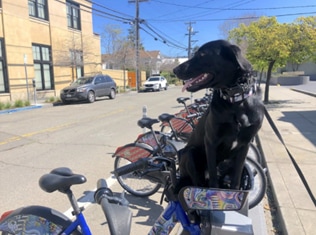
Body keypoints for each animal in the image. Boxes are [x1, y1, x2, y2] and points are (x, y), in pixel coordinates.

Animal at [173, 39, 264, 192]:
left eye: (202, 54)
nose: (174, 70)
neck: (236, 101)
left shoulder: (244, 145)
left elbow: (236, 179)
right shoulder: (211, 142)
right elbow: (213, 181)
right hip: (190, 153)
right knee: (197, 182)